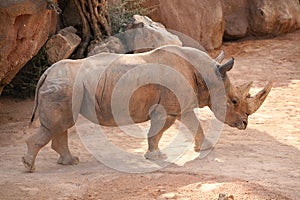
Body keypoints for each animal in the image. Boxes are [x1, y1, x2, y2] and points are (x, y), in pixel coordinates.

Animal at [22, 45, 274, 172]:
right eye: (234, 101)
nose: (245, 124)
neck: (208, 75)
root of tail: (46, 74)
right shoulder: (167, 109)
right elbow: (159, 130)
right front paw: (156, 156)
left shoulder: (179, 106)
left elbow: (193, 124)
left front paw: (205, 147)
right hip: (64, 86)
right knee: (58, 124)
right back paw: (29, 167)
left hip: (65, 86)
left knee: (61, 125)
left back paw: (70, 162)